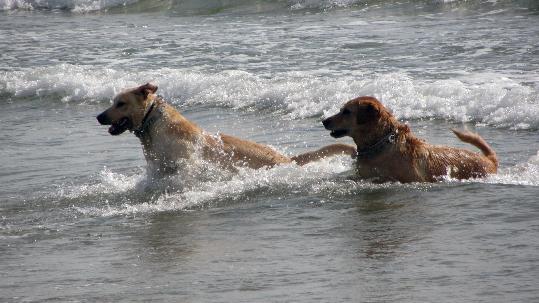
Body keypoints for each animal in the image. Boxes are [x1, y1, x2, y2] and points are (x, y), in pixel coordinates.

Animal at [97, 83, 356, 177]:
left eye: (121, 104)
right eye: (113, 102)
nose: (99, 116)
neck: (152, 122)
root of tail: (286, 159)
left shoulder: (184, 162)